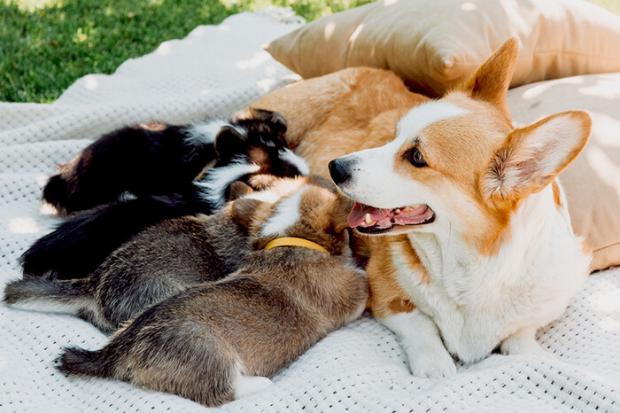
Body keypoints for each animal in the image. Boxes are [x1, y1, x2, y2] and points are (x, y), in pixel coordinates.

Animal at [26, 178, 366, 406]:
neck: (290, 239)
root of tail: (116, 352)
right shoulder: (351, 295)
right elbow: (360, 284)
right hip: (208, 352)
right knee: (218, 392)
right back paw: (259, 384)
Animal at [326, 38, 592, 376]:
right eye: (393, 136)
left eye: (416, 157)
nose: (334, 167)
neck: (475, 263)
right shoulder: (383, 289)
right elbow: (420, 323)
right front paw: (435, 367)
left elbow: (520, 338)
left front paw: (539, 357)